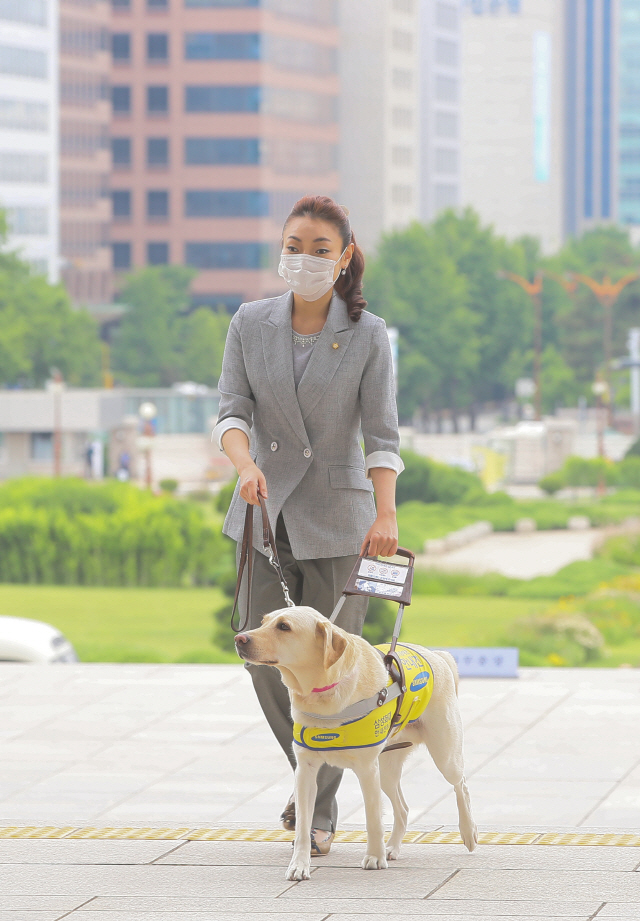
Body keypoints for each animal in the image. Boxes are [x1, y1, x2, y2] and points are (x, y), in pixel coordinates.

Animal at [235, 608, 476, 880]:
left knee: (461, 785)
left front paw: (375, 857)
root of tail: (438, 655)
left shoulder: (366, 770)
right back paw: (392, 847)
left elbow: (373, 820)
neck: (322, 693)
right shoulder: (306, 771)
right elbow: (303, 827)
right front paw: (299, 865)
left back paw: (468, 832)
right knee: (403, 808)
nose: (239, 638)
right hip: (387, 769)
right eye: (263, 622)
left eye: (284, 627)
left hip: (444, 754)